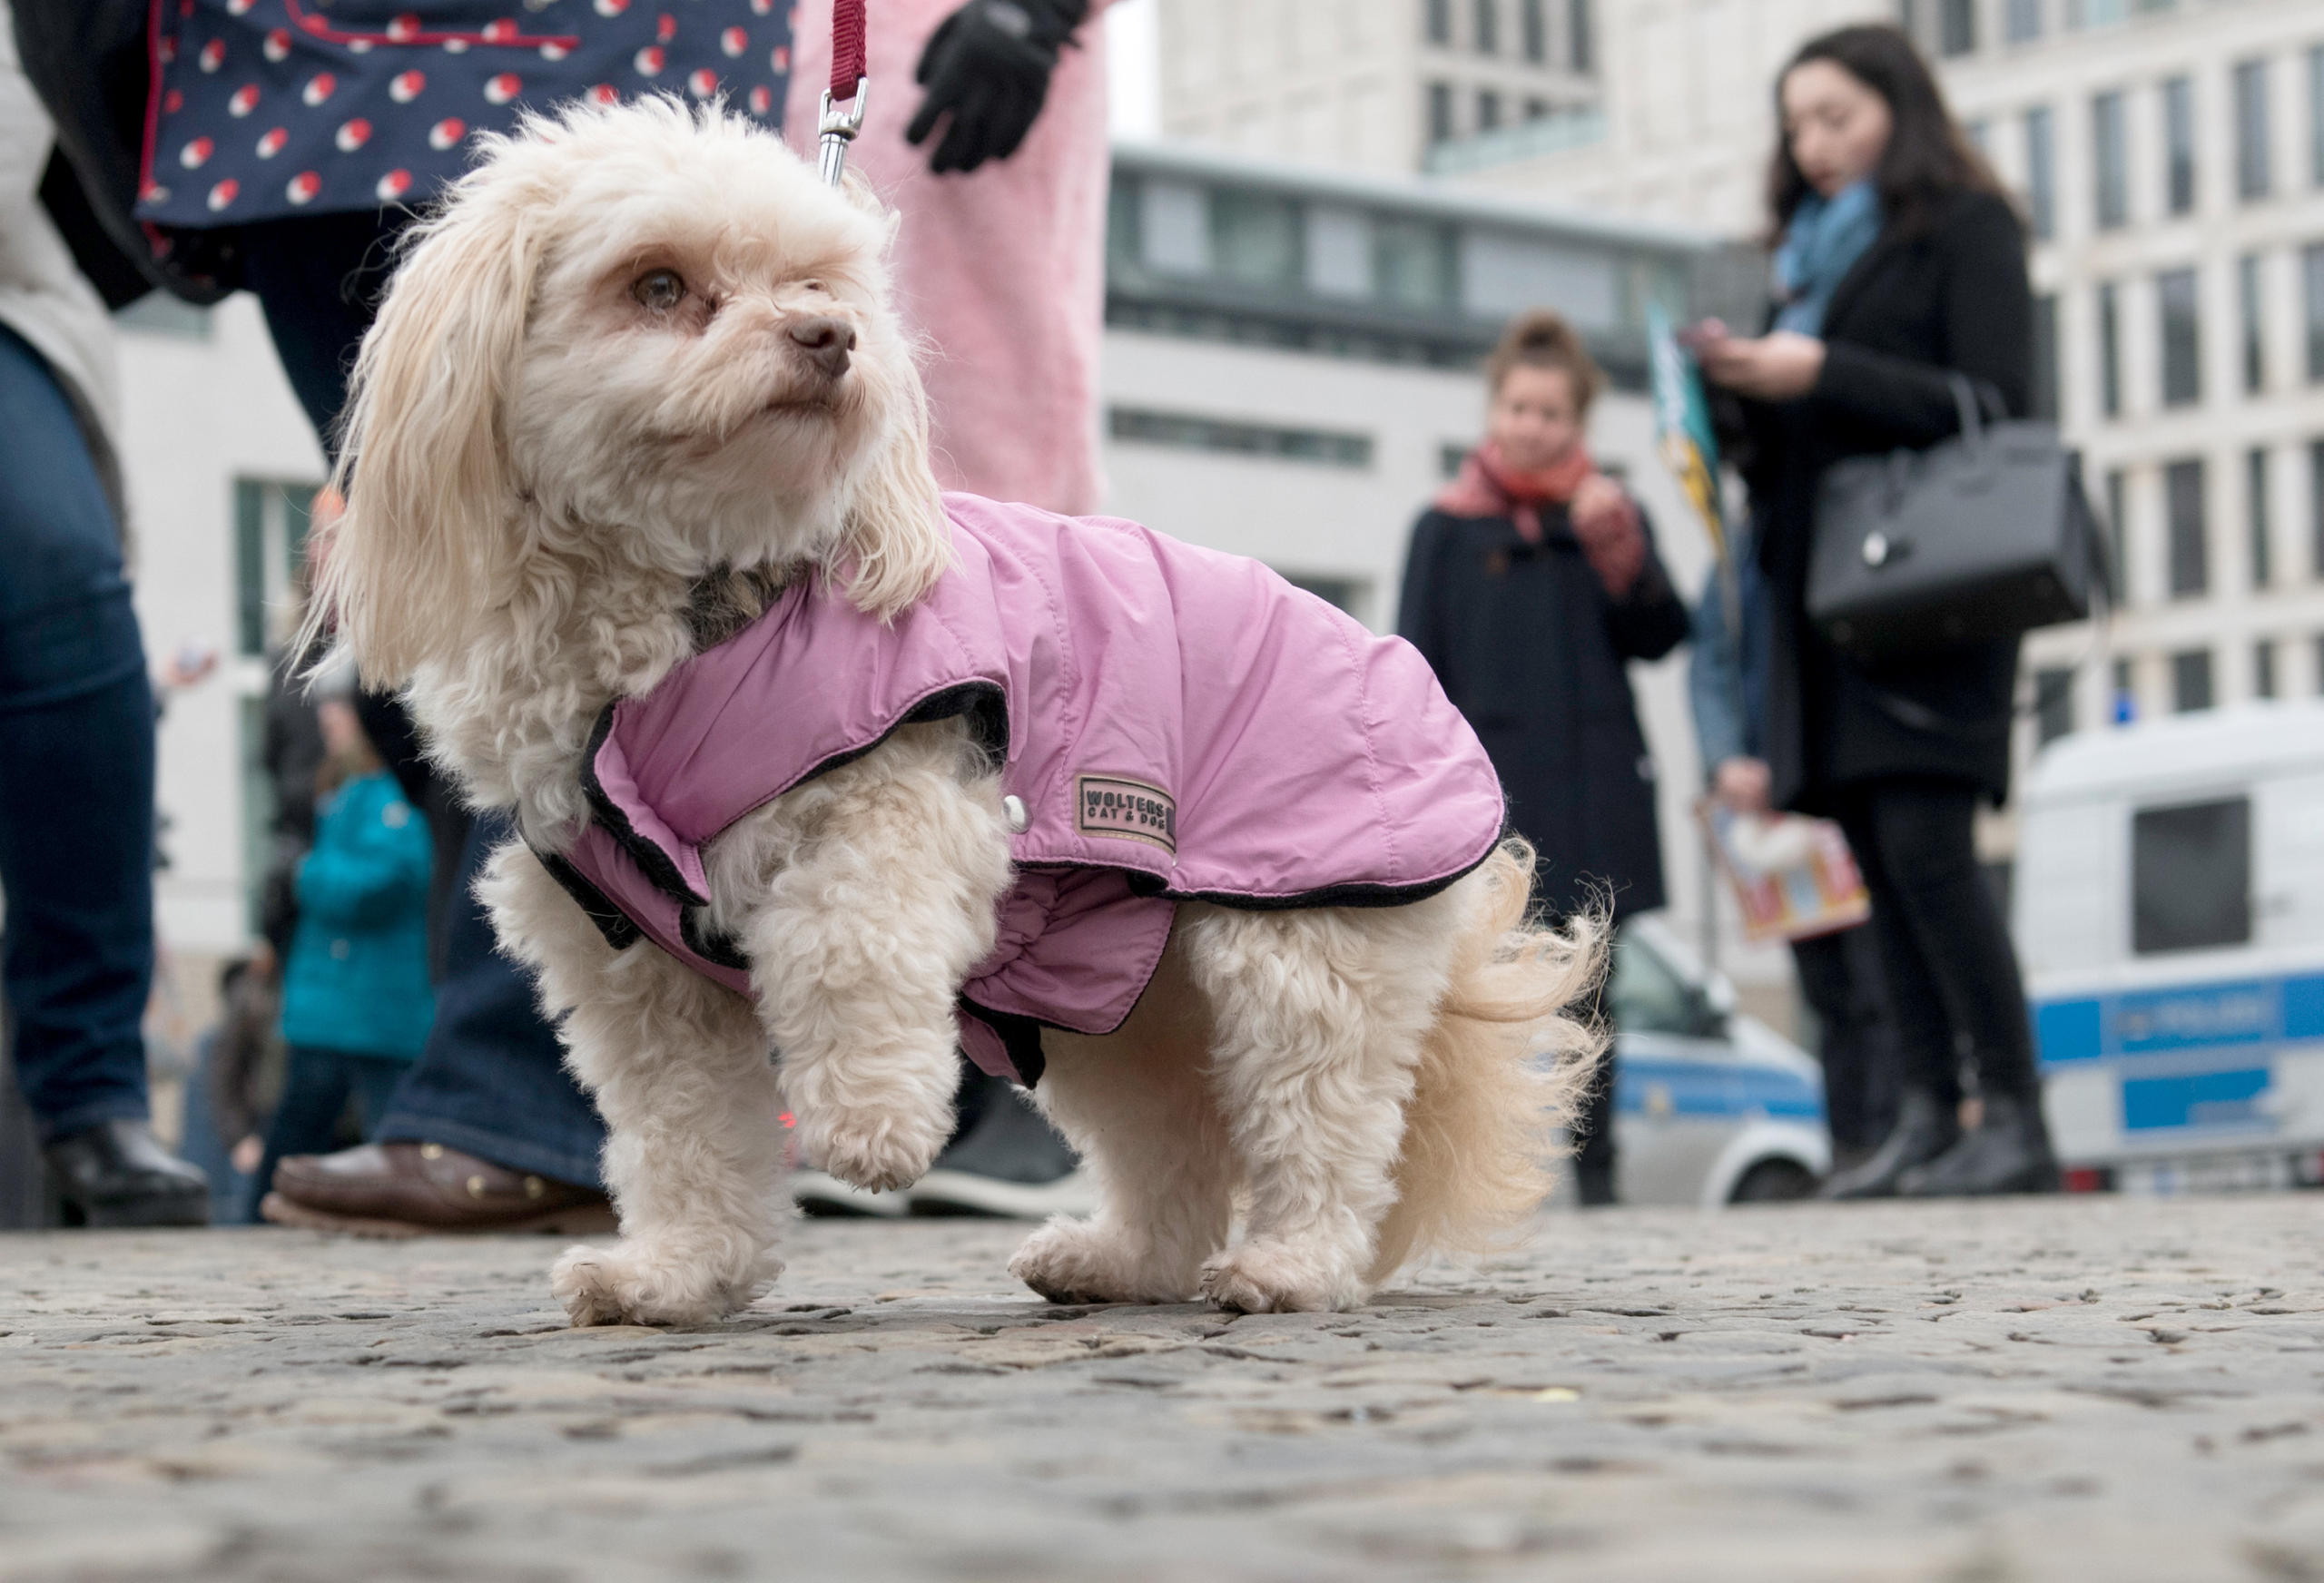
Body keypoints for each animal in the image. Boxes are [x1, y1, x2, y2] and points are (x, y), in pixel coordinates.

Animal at [318, 98, 1608, 1329]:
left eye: (818, 285)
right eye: (659, 286)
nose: (828, 339)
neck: (701, 608)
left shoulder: (900, 805)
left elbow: (845, 950)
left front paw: (871, 1128)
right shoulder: (635, 961)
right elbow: (683, 1136)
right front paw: (678, 1275)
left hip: (1293, 944)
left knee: (1322, 1125)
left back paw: (1290, 1265)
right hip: (1115, 1004)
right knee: (1178, 1145)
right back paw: (1123, 1260)